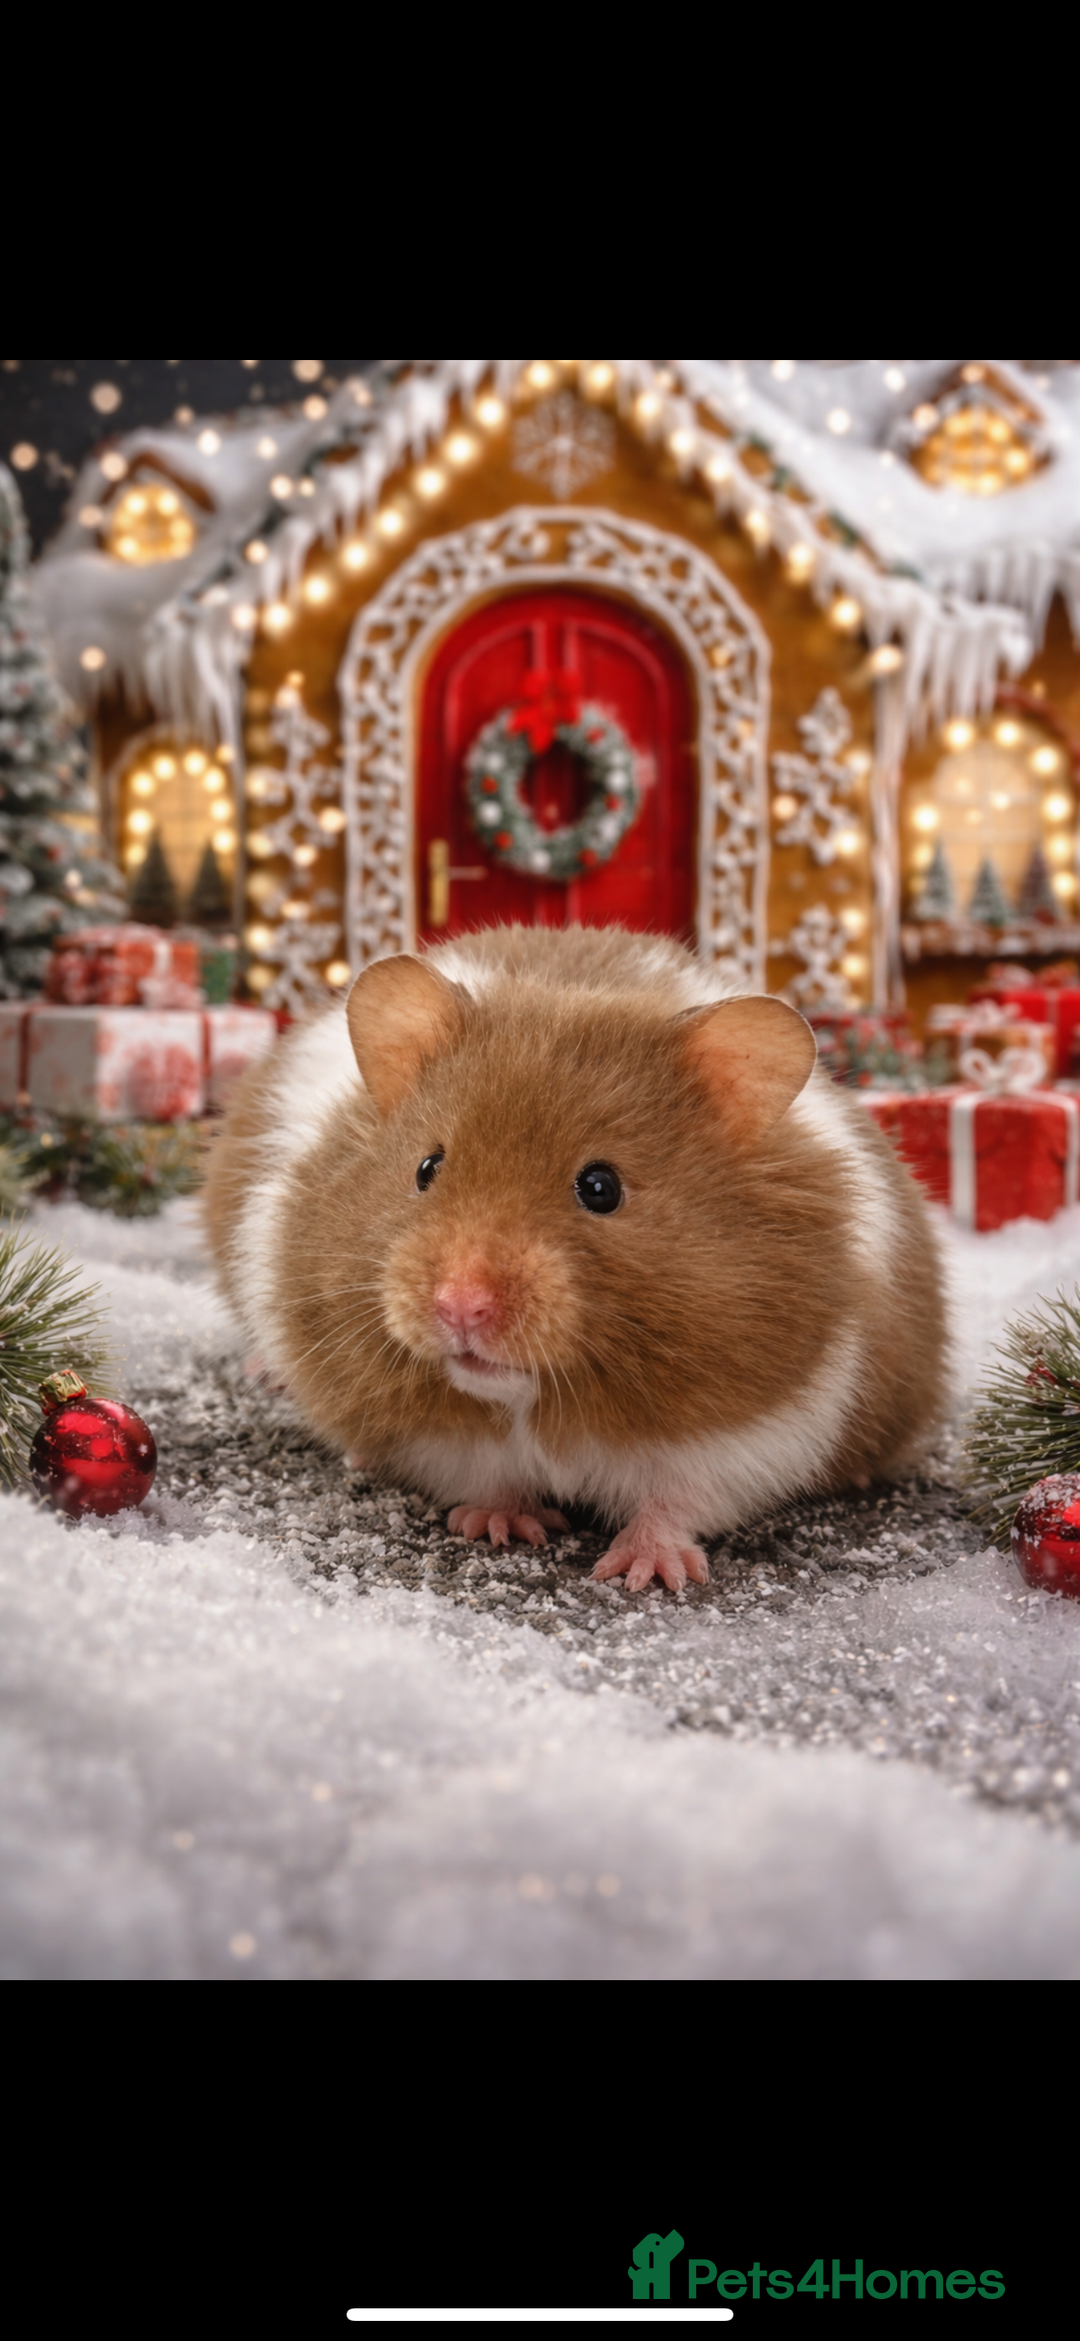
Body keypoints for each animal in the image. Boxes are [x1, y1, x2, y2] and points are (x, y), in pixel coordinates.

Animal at [205, 926, 946, 1593]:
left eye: (601, 1188)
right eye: (425, 1168)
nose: (460, 1307)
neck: (540, 1392)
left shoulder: (757, 1430)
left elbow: (677, 1500)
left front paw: (647, 1575)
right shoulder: (442, 1438)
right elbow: (485, 1474)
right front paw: (500, 1529)